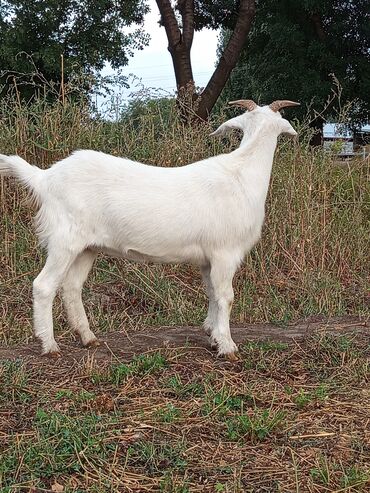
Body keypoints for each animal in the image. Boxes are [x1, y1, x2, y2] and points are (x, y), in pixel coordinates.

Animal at [0, 98, 298, 358]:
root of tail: (44, 178)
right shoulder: (225, 252)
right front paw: (227, 346)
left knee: (71, 287)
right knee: (43, 285)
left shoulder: (208, 258)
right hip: (64, 240)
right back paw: (49, 345)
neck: (241, 174)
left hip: (86, 247)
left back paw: (88, 337)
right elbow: (226, 297)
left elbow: (212, 293)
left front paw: (212, 334)